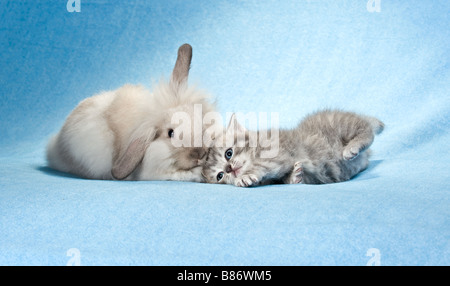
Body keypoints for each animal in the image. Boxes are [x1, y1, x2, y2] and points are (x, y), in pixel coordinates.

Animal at [203, 108, 384, 187]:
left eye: (228, 153)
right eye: (220, 176)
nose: (229, 168)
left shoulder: (277, 153)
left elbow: (262, 165)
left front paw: (245, 176)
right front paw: (295, 176)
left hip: (340, 124)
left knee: (366, 128)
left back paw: (353, 147)